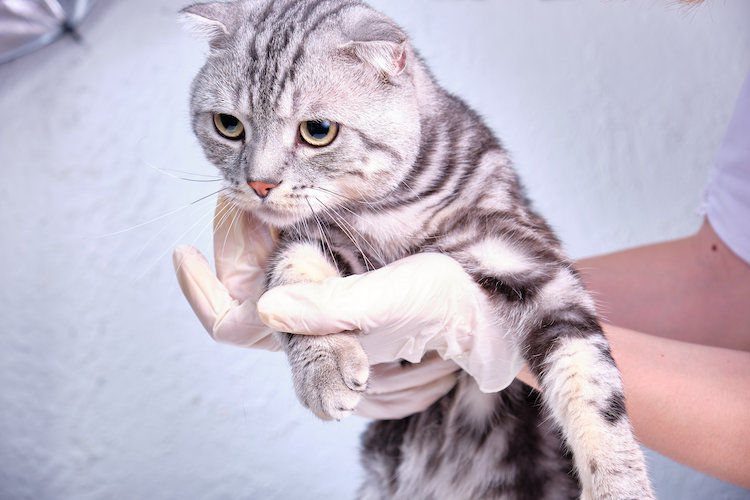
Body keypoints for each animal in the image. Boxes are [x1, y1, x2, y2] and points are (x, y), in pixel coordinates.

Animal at [182, 1, 654, 498]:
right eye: (228, 125)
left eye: (318, 131)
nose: (259, 184)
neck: (393, 207)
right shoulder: (330, 241)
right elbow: (293, 285)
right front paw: (323, 368)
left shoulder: (530, 260)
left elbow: (591, 382)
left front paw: (620, 484)